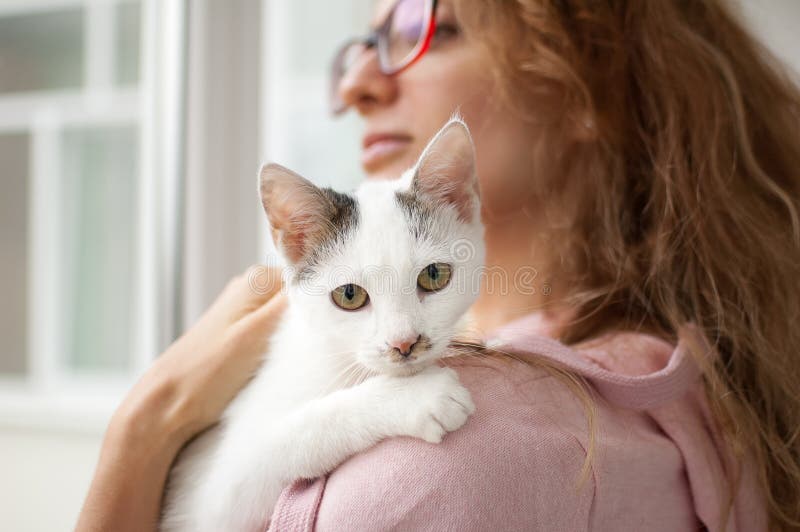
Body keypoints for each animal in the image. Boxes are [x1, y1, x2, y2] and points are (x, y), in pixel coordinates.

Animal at [159, 118, 484, 528]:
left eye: (434, 275)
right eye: (349, 295)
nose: (405, 342)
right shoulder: (213, 500)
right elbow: (290, 438)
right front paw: (415, 397)